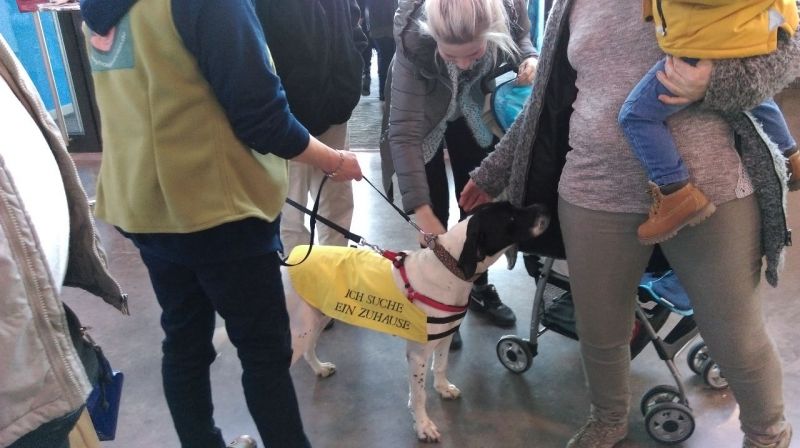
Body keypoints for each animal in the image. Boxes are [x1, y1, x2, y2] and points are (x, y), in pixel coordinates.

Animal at [282, 201, 549, 442]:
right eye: (510, 217)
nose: (545, 209)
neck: (448, 269)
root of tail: (286, 261)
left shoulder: (445, 336)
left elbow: (440, 366)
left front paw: (443, 388)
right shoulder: (418, 354)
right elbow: (420, 395)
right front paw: (423, 426)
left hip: (317, 318)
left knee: (309, 349)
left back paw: (320, 368)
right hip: (299, 330)